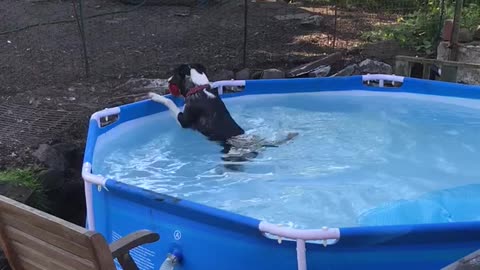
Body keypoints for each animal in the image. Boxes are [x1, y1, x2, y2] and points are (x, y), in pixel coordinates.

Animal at [148, 64, 296, 168]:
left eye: (174, 74)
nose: (167, 80)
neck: (198, 87)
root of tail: (259, 144)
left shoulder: (183, 120)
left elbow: (170, 103)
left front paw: (155, 96)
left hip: (232, 156)